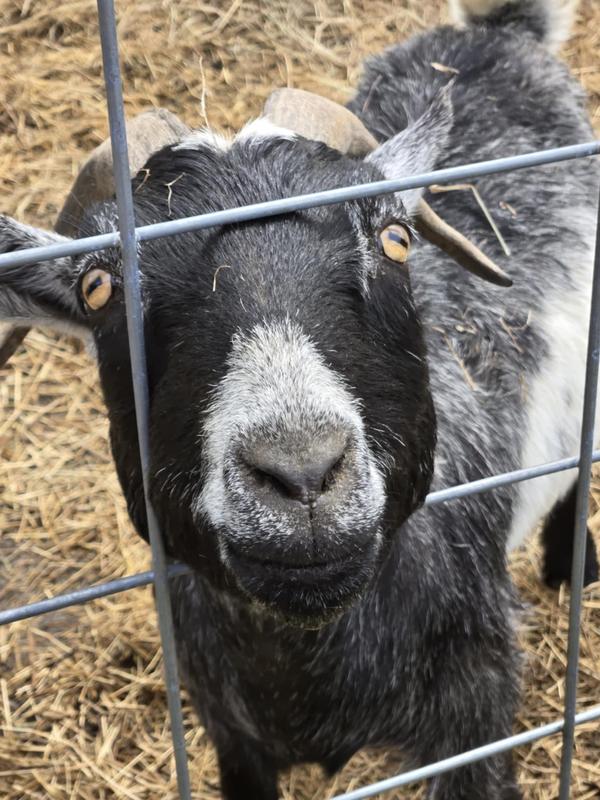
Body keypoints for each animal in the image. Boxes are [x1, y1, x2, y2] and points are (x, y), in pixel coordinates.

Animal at [1, 1, 598, 797]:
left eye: (396, 237)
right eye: (98, 290)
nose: (303, 471)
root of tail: (499, 32)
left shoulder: (478, 705)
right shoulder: (231, 733)